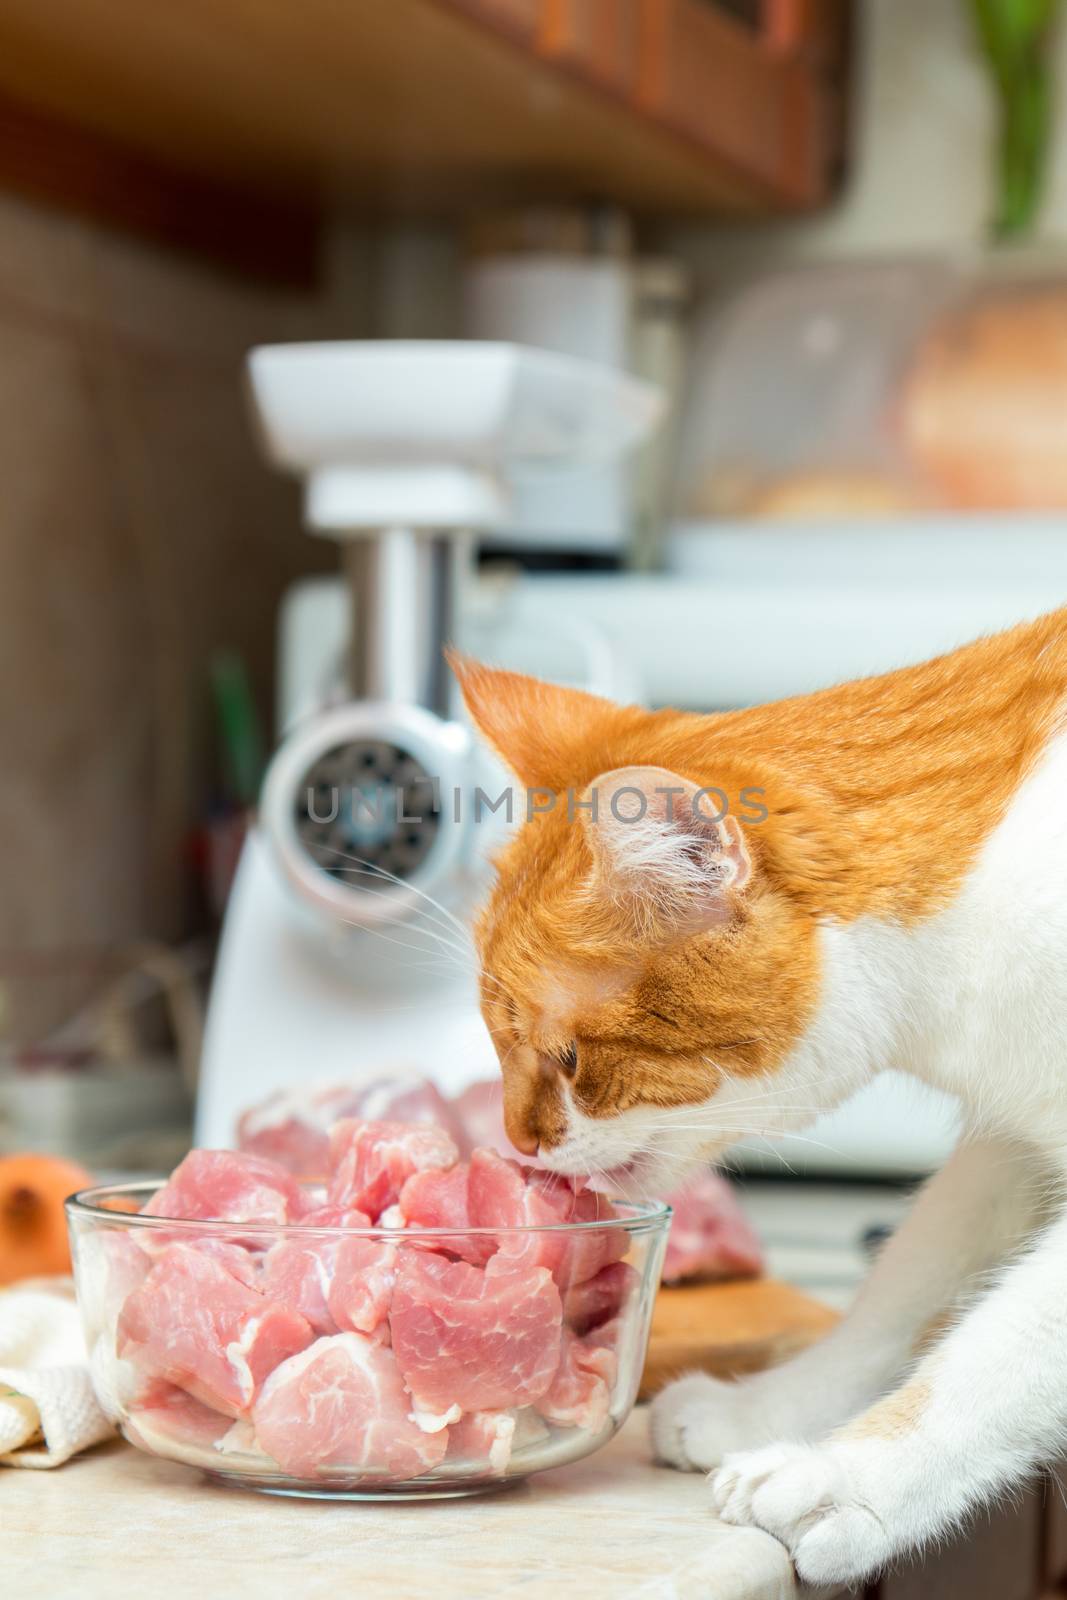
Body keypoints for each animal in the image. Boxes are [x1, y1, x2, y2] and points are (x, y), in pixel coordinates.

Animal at [454, 614, 1067, 1587]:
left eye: (567, 1057)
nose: (517, 1143)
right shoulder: (1007, 1139)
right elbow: (905, 1285)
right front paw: (770, 1410)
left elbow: (998, 1356)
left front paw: (849, 1481)